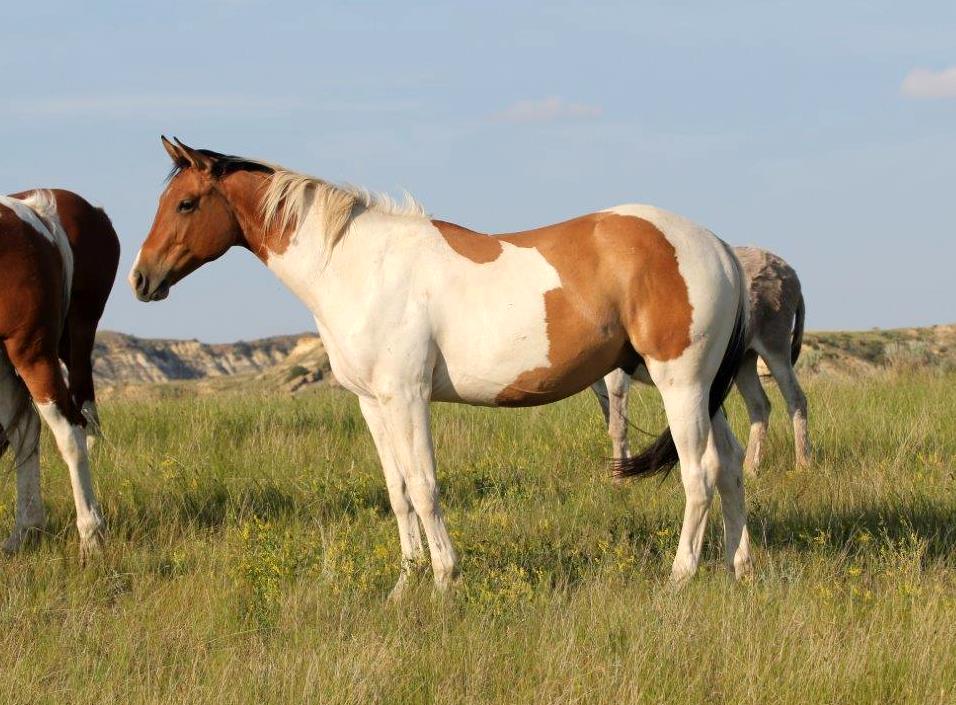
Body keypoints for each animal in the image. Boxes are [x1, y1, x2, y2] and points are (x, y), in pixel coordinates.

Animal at [0, 190, 111, 557]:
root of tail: (33, 213)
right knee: (24, 434)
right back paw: (24, 531)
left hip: (32, 355)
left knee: (71, 432)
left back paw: (91, 535)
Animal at [130, 137, 752, 593]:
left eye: (186, 203)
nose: (141, 279)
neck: (358, 267)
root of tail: (718, 246)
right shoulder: (373, 403)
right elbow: (398, 490)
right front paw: (405, 586)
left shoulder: (407, 396)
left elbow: (425, 486)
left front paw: (443, 581)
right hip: (699, 389)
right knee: (730, 466)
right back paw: (737, 568)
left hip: (680, 383)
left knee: (699, 474)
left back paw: (679, 579)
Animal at [592, 246, 809, 473]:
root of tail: (787, 268)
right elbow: (610, 419)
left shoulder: (616, 373)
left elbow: (618, 426)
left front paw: (617, 477)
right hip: (744, 360)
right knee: (760, 405)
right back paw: (750, 469)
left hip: (774, 346)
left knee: (795, 398)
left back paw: (802, 465)